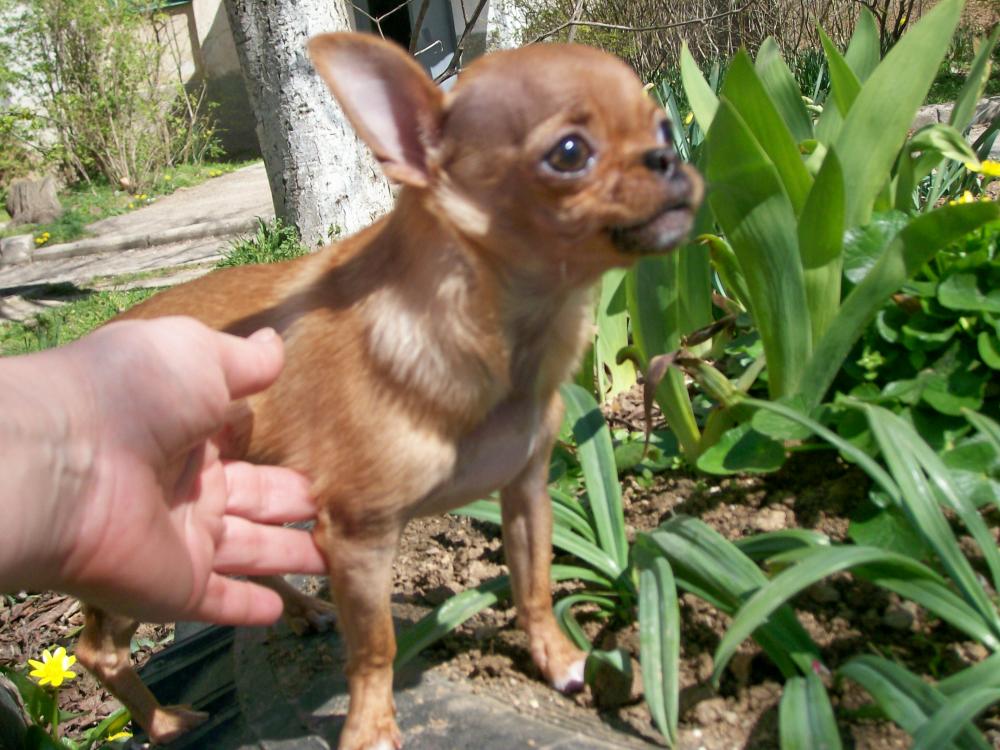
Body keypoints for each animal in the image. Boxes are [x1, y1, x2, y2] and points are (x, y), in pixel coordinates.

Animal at [73, 32, 702, 750]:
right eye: (569, 153)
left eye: (662, 127)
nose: (668, 156)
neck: (508, 339)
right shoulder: (360, 540)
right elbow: (375, 647)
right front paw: (370, 727)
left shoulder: (526, 490)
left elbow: (534, 586)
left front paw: (559, 660)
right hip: (144, 563)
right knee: (99, 650)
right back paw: (166, 721)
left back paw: (301, 609)